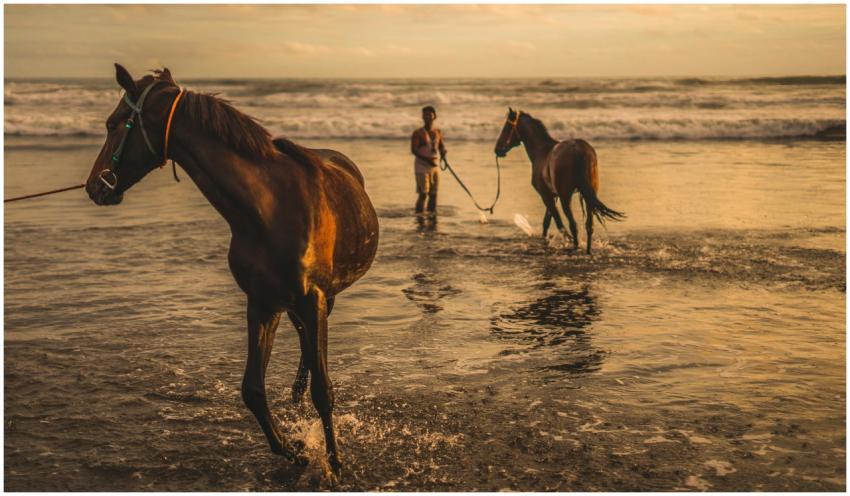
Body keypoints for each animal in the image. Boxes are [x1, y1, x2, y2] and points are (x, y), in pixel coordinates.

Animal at [85, 64, 379, 474]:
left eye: (113, 123)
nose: (94, 186)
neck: (268, 208)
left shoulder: (313, 299)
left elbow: (323, 390)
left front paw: (334, 465)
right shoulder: (262, 303)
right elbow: (252, 390)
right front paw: (295, 450)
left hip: (325, 299)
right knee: (302, 341)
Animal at [493, 108, 624, 254]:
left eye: (506, 128)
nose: (497, 149)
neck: (542, 151)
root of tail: (580, 150)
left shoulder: (546, 195)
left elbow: (557, 222)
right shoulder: (553, 196)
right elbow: (547, 222)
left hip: (565, 197)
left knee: (573, 224)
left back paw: (575, 246)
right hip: (588, 195)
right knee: (589, 225)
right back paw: (587, 250)